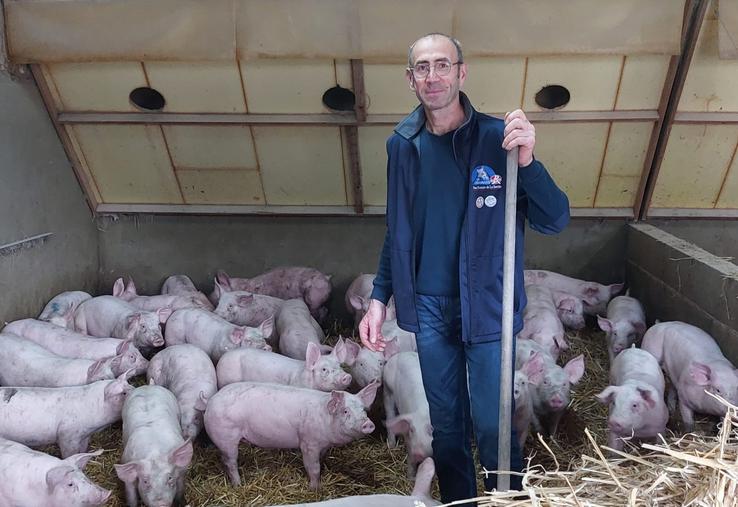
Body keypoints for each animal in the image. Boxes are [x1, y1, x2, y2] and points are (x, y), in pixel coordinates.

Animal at [0, 372, 134, 458]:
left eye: (131, 385)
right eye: (124, 393)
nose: (137, 390)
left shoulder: (84, 435)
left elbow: (83, 448)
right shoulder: (67, 434)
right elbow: (70, 453)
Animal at [204, 380, 376, 488]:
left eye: (364, 410)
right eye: (346, 411)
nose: (367, 423)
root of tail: (210, 401)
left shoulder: (324, 445)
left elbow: (321, 460)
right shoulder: (308, 443)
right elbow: (313, 467)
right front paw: (315, 489)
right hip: (226, 437)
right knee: (230, 462)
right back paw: (239, 485)